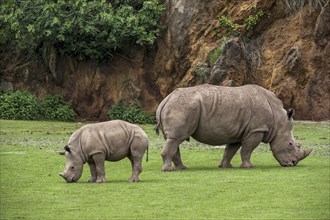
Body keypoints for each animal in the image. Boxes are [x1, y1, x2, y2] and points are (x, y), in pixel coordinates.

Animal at [155, 83, 312, 171]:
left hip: (177, 106)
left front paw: (225, 167)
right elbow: (247, 150)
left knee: (173, 139)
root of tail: (166, 99)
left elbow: (230, 150)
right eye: (290, 144)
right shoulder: (256, 130)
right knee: (176, 138)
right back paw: (169, 170)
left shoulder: (238, 132)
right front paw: (249, 167)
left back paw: (182, 168)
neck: (278, 119)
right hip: (182, 107)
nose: (292, 164)